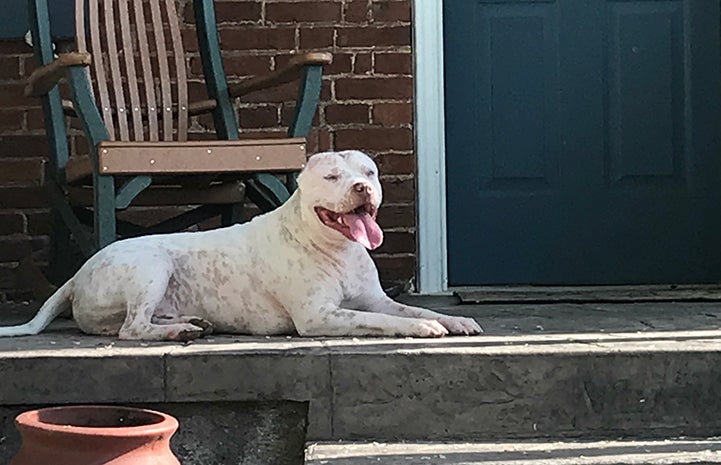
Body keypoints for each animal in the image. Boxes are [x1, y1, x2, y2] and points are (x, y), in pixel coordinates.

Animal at [2, 150, 484, 338]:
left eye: (368, 172)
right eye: (332, 176)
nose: (361, 189)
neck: (333, 246)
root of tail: (75, 275)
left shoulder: (375, 299)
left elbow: (409, 308)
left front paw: (453, 320)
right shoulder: (320, 316)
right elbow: (383, 322)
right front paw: (424, 329)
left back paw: (191, 321)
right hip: (149, 264)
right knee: (132, 328)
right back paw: (177, 331)